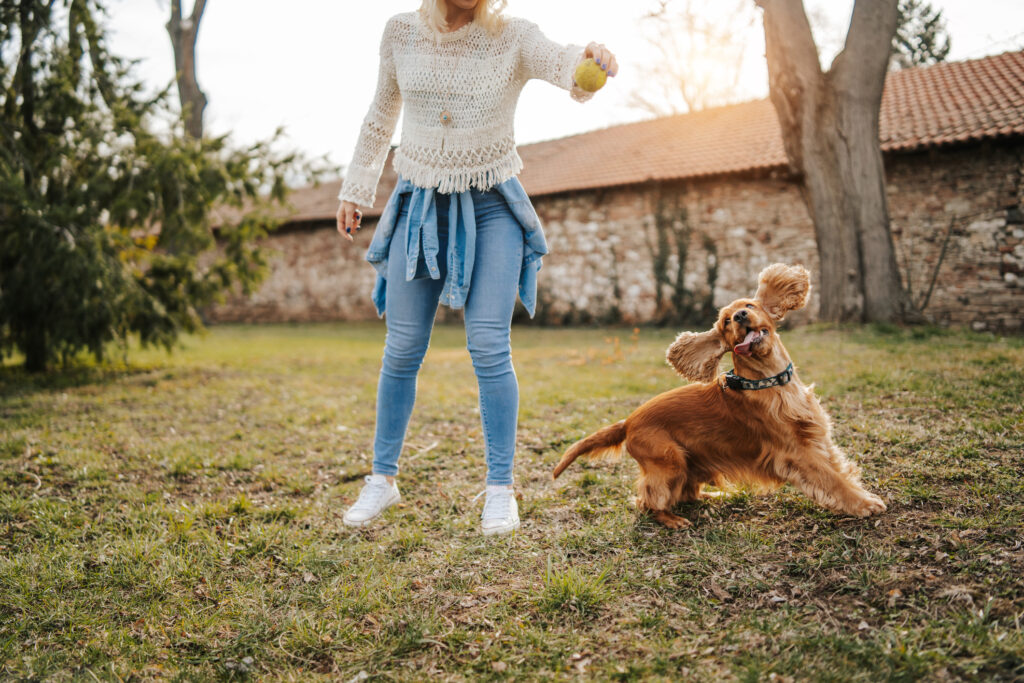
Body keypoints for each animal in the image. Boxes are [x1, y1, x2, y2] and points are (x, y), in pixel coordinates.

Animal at [552, 264, 888, 528]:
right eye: (726, 321)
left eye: (749, 305)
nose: (739, 316)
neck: (771, 381)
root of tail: (628, 421)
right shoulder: (795, 451)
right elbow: (831, 479)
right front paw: (864, 505)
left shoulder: (816, 435)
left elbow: (839, 469)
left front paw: (862, 495)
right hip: (669, 461)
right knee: (646, 501)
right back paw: (672, 519)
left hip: (694, 461)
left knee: (686, 493)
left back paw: (713, 496)